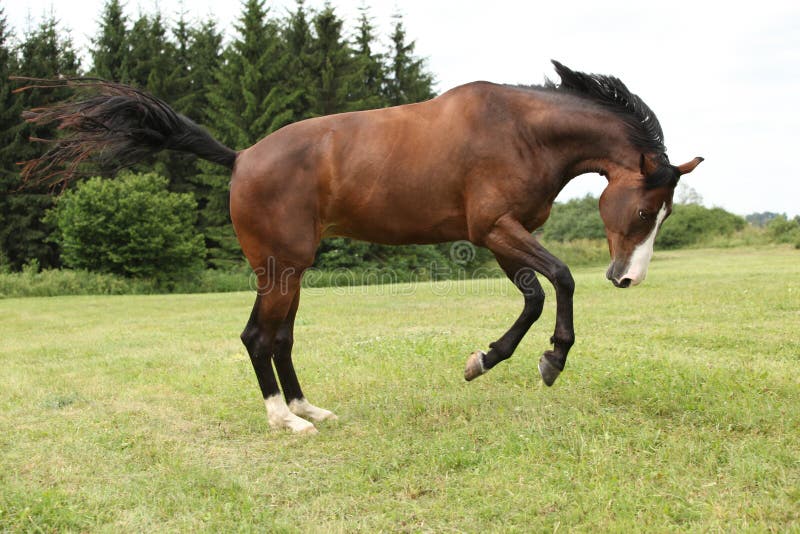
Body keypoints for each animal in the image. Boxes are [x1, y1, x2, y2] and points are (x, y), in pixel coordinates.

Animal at [18, 60, 700, 434]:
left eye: (665, 214)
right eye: (645, 210)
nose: (627, 278)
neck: (521, 131)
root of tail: (239, 158)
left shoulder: (500, 236)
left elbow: (532, 298)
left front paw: (485, 359)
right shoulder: (496, 230)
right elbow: (560, 279)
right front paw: (552, 359)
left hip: (289, 270)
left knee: (277, 338)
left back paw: (310, 409)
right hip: (280, 268)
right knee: (259, 337)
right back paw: (286, 421)